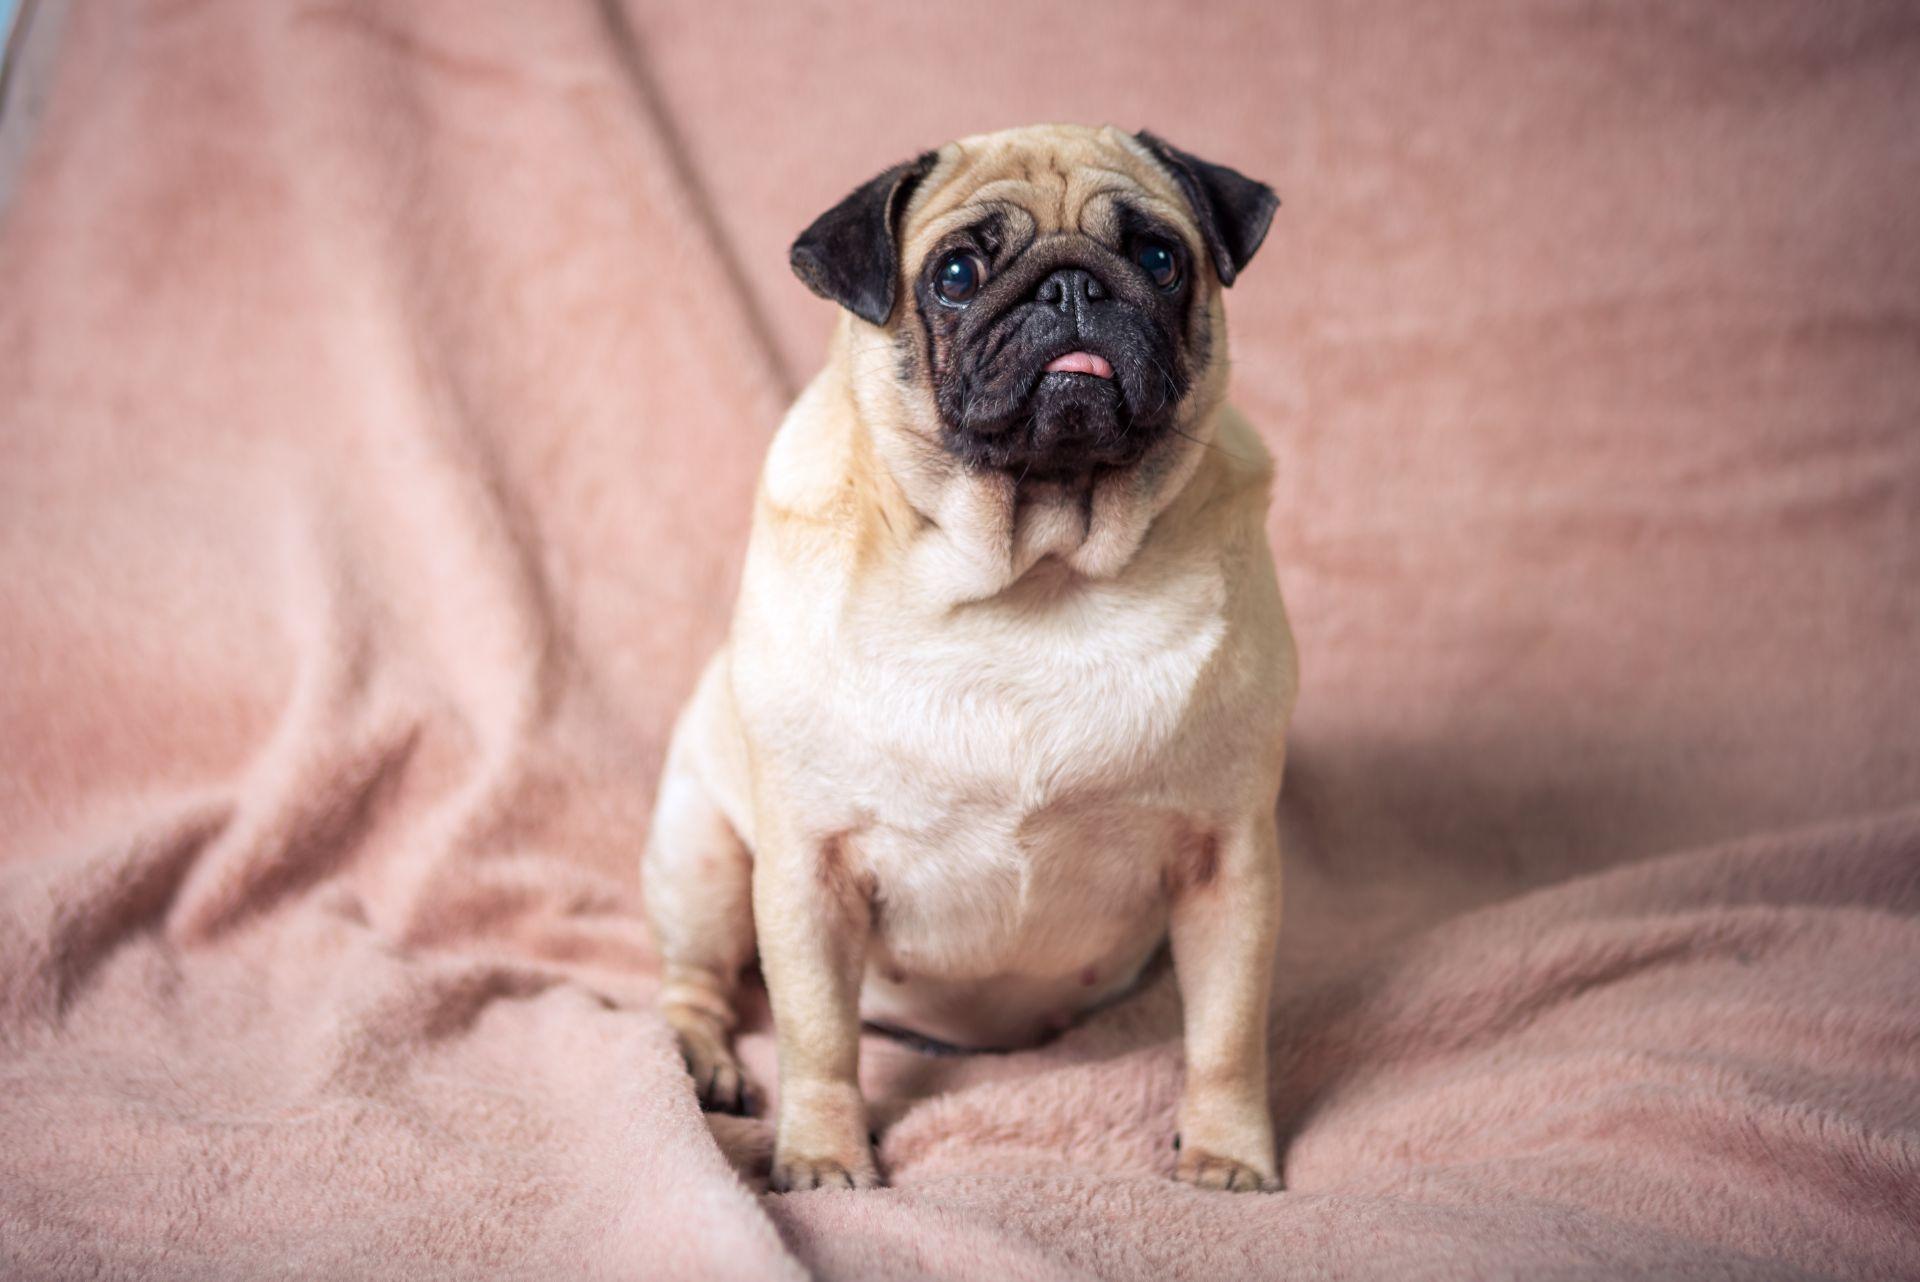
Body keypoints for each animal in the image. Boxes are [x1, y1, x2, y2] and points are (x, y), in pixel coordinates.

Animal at [637, 124, 1297, 1197]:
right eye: (955, 275)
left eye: (1160, 258)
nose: (1071, 285)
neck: (1034, 576)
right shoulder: (808, 870)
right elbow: (818, 1037)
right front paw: (824, 1158)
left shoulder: (1228, 860)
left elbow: (1230, 1033)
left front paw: (1229, 1154)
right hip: (698, 853)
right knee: (695, 980)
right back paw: (701, 1061)